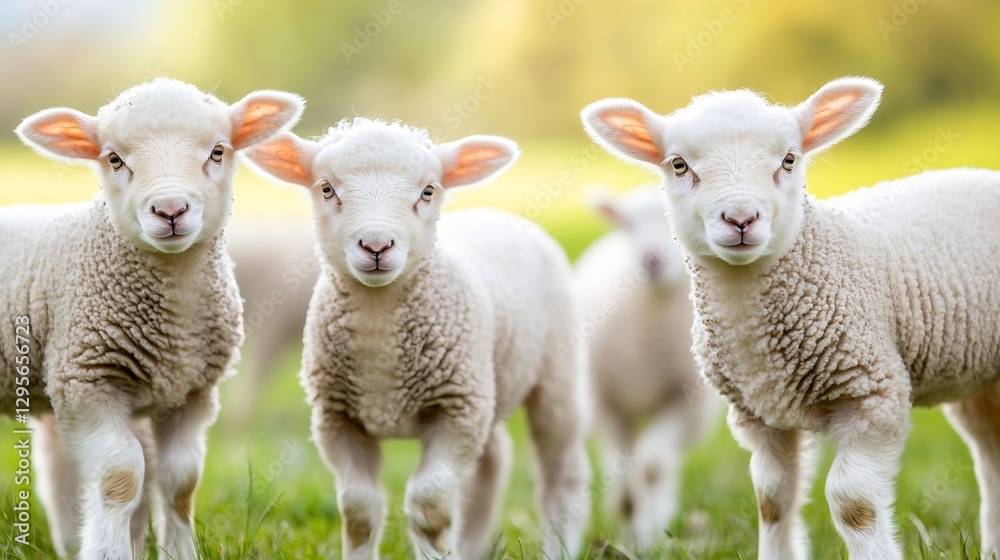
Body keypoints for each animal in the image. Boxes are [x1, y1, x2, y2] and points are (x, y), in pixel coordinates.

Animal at [2, 77, 303, 559]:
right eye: (114, 158)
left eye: (218, 151)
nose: (171, 210)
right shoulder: (88, 382)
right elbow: (121, 476)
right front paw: (109, 553)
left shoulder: (191, 393)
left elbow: (181, 482)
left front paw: (179, 553)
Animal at [243, 118, 592, 560]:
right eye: (326, 189)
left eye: (427, 191)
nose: (376, 245)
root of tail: (495, 214)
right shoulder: (337, 417)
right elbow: (358, 510)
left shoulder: (456, 411)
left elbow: (429, 507)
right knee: (493, 463)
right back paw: (472, 546)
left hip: (556, 377)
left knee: (562, 471)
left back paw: (559, 546)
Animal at [574, 185, 718, 552]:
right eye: (628, 225)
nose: (651, 259)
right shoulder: (609, 403)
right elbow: (626, 469)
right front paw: (628, 516)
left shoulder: (685, 402)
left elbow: (652, 467)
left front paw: (647, 538)